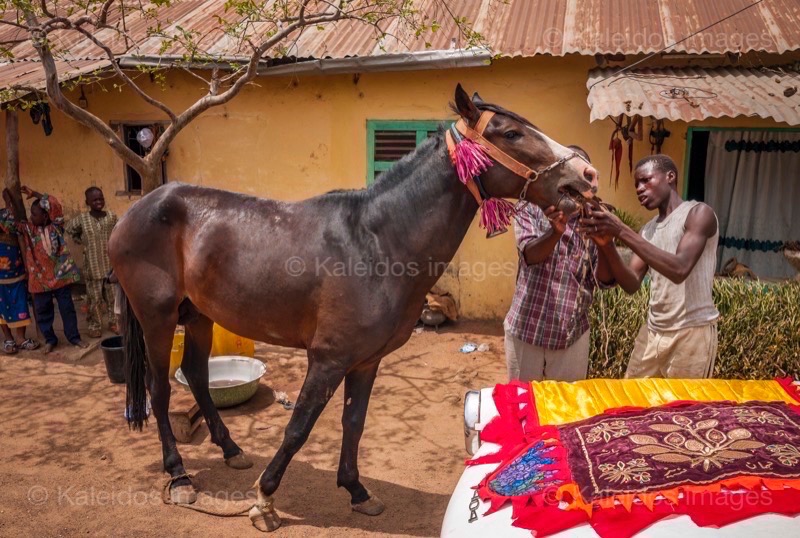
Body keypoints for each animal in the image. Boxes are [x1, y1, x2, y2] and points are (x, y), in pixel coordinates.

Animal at [106, 84, 596, 528]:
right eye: (512, 132)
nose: (586, 175)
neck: (376, 241)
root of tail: (136, 210)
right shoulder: (328, 359)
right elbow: (299, 427)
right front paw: (264, 501)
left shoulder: (365, 361)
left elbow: (354, 423)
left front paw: (357, 490)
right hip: (157, 318)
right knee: (160, 390)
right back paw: (179, 476)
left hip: (200, 316)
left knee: (197, 376)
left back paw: (231, 450)